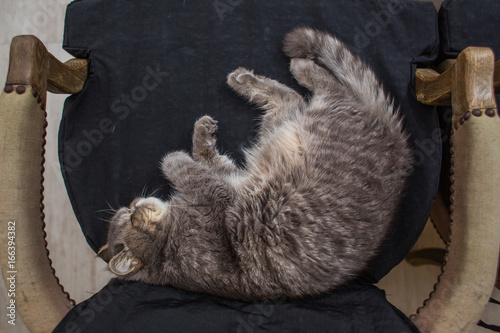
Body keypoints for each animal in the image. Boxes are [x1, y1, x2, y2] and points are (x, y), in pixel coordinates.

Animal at [98, 27, 414, 300]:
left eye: (129, 210)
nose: (136, 203)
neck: (166, 247)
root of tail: (396, 141)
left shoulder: (225, 179)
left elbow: (203, 158)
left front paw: (201, 135)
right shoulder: (217, 193)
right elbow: (177, 162)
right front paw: (178, 154)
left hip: (279, 129)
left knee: (293, 96)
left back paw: (244, 79)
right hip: (309, 124)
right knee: (321, 90)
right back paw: (299, 66)